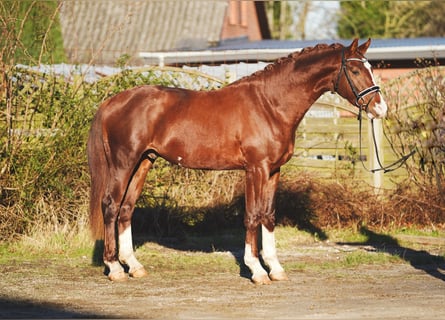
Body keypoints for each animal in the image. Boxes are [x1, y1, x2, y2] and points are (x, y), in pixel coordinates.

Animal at [86, 38, 386, 284]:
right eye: (356, 71)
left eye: (370, 68)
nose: (380, 108)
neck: (270, 105)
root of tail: (112, 102)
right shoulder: (256, 169)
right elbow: (252, 216)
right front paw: (256, 270)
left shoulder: (274, 171)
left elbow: (268, 215)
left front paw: (276, 269)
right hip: (123, 163)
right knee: (111, 206)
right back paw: (114, 268)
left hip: (143, 162)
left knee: (126, 209)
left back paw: (134, 266)